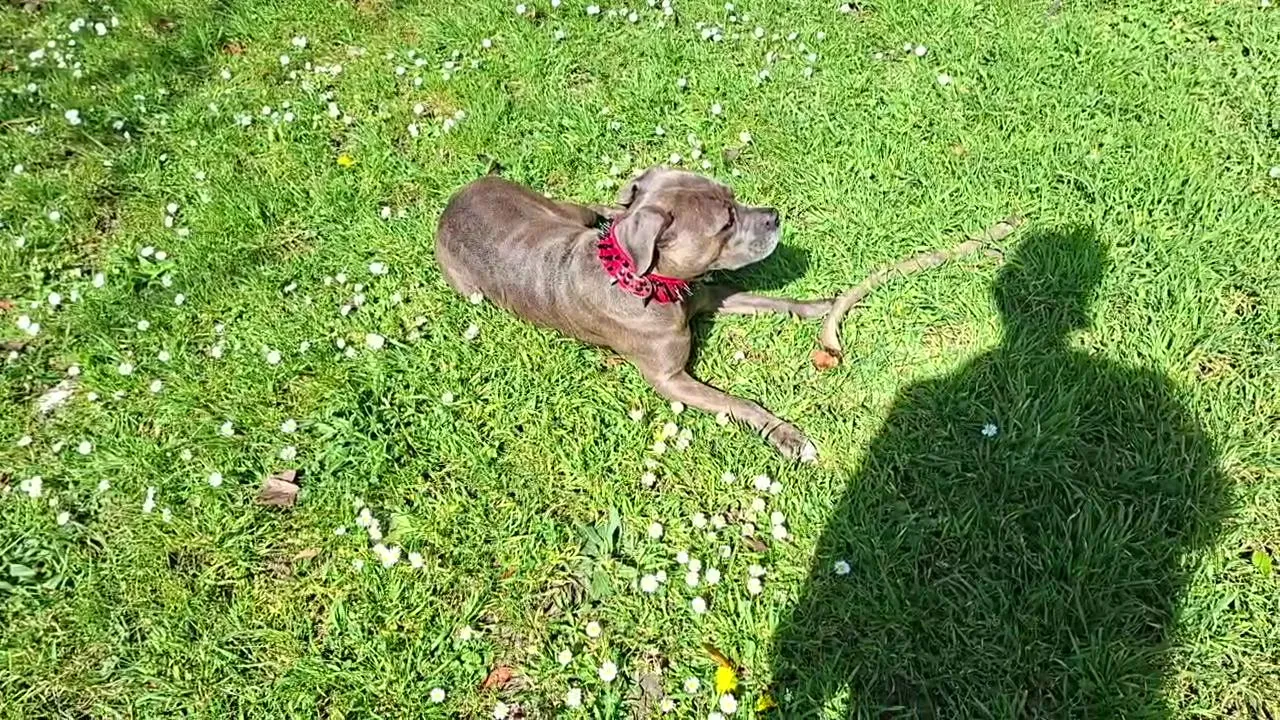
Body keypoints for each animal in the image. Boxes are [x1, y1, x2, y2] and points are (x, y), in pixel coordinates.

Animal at [435, 167, 831, 460]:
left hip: (562, 210)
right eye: (726, 223)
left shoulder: (708, 296)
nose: (774, 216)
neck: (651, 280)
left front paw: (820, 306)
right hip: (471, 288)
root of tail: (455, 199)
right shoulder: (670, 379)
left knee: (599, 208)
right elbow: (737, 402)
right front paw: (787, 437)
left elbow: (769, 301)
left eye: (733, 196)